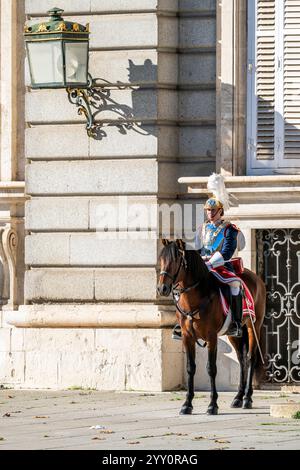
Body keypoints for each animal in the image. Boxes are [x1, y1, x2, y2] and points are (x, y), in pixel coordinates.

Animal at [157, 239, 264, 414]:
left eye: (175, 260)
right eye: (161, 259)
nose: (162, 289)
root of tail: (256, 278)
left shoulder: (212, 337)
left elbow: (211, 368)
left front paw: (212, 405)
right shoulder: (187, 337)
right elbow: (190, 368)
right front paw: (187, 404)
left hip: (253, 325)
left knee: (250, 358)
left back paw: (247, 398)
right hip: (233, 334)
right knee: (242, 360)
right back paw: (238, 398)